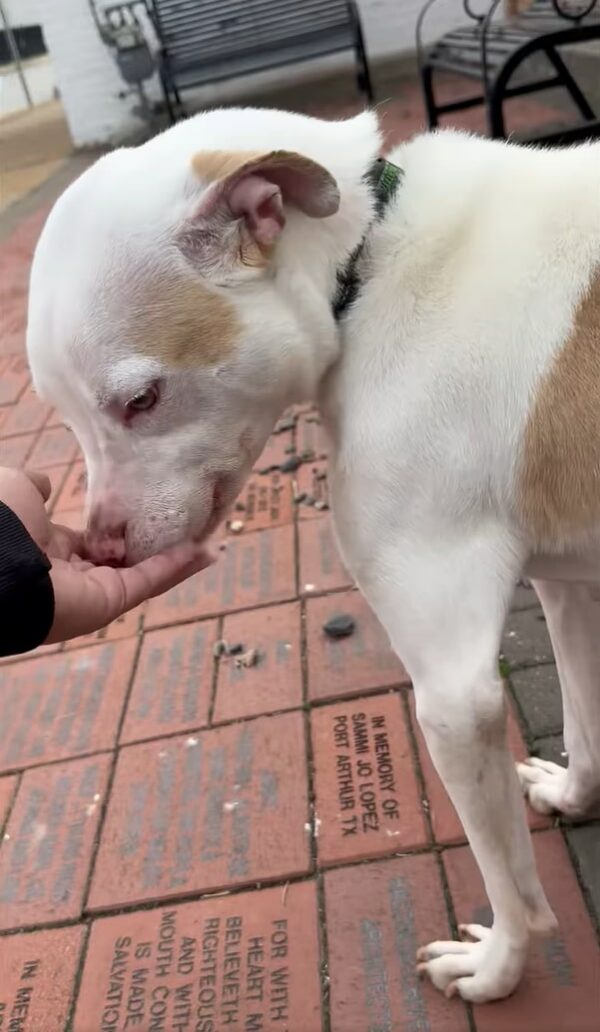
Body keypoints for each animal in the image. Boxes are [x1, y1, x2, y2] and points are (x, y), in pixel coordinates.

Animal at [25, 108, 594, 1003]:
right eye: (64, 413)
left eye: (141, 400)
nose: (104, 549)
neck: (369, 260)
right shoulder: (570, 590)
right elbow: (585, 718)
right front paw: (574, 793)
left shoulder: (455, 693)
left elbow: (508, 878)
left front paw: (497, 969)